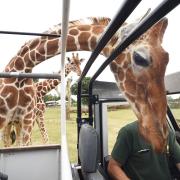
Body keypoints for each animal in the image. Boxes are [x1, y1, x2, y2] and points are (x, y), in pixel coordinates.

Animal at [0, 15, 169, 152]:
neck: (21, 67)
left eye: (167, 58)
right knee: (7, 142)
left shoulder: (28, 118)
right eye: (140, 58)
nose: (161, 138)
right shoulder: (14, 117)